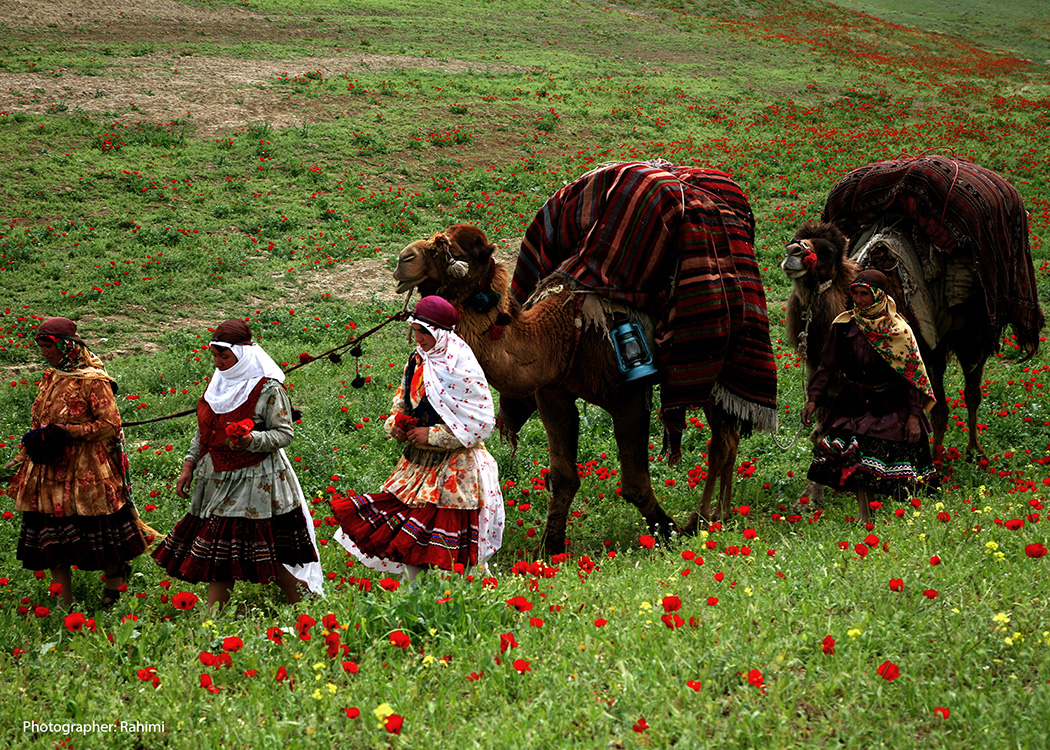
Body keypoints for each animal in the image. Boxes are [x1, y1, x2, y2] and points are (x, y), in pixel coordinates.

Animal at [390, 221, 743, 554]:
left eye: (453, 251)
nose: (403, 259)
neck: (561, 333)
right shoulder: (552, 394)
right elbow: (562, 477)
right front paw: (549, 548)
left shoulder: (627, 396)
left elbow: (634, 483)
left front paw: (668, 531)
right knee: (728, 437)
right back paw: (719, 515)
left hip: (713, 363)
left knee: (722, 439)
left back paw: (703, 519)